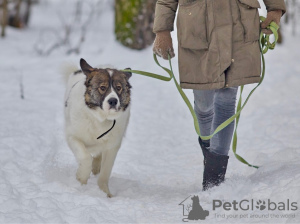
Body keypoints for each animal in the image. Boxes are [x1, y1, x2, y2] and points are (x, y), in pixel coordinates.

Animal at [63, 58, 132, 198]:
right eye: (102, 88)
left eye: (118, 88)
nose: (113, 101)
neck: (100, 119)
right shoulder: (73, 137)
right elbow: (85, 157)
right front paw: (81, 179)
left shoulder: (112, 146)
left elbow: (105, 172)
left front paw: (105, 193)